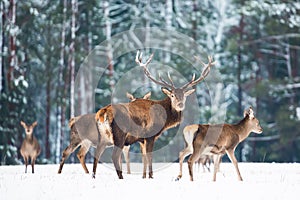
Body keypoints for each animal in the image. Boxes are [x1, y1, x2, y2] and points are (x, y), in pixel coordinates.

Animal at [94, 50, 216, 179]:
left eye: (184, 96)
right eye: (172, 95)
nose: (180, 104)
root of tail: (103, 113)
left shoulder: (141, 140)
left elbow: (144, 158)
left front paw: (144, 176)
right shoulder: (150, 135)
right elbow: (150, 157)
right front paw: (151, 176)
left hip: (102, 136)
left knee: (97, 154)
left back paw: (93, 176)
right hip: (119, 134)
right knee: (114, 156)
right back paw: (121, 177)